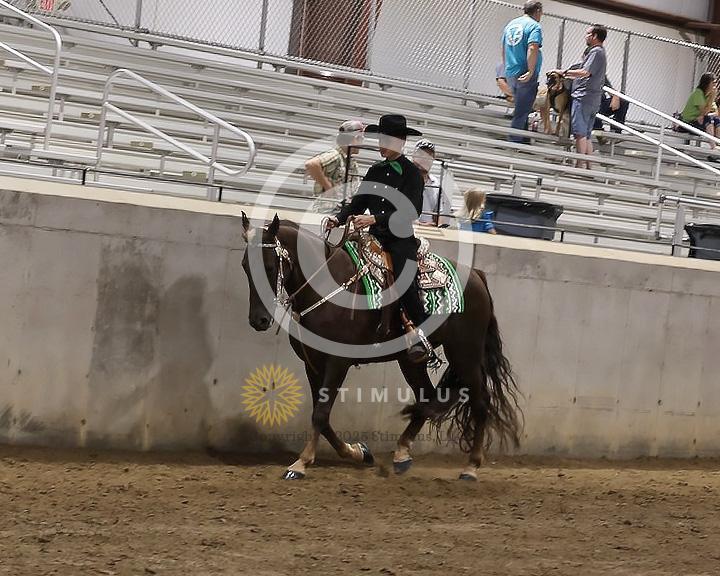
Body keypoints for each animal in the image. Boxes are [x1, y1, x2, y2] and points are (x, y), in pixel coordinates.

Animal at [240, 212, 521, 480]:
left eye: (268, 266)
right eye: (244, 266)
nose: (258, 320)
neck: (326, 286)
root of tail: (477, 276)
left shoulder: (337, 362)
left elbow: (320, 413)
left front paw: (300, 464)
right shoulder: (313, 364)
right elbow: (322, 415)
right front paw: (358, 452)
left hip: (466, 353)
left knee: (480, 402)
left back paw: (471, 467)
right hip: (411, 361)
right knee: (428, 396)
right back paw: (402, 453)